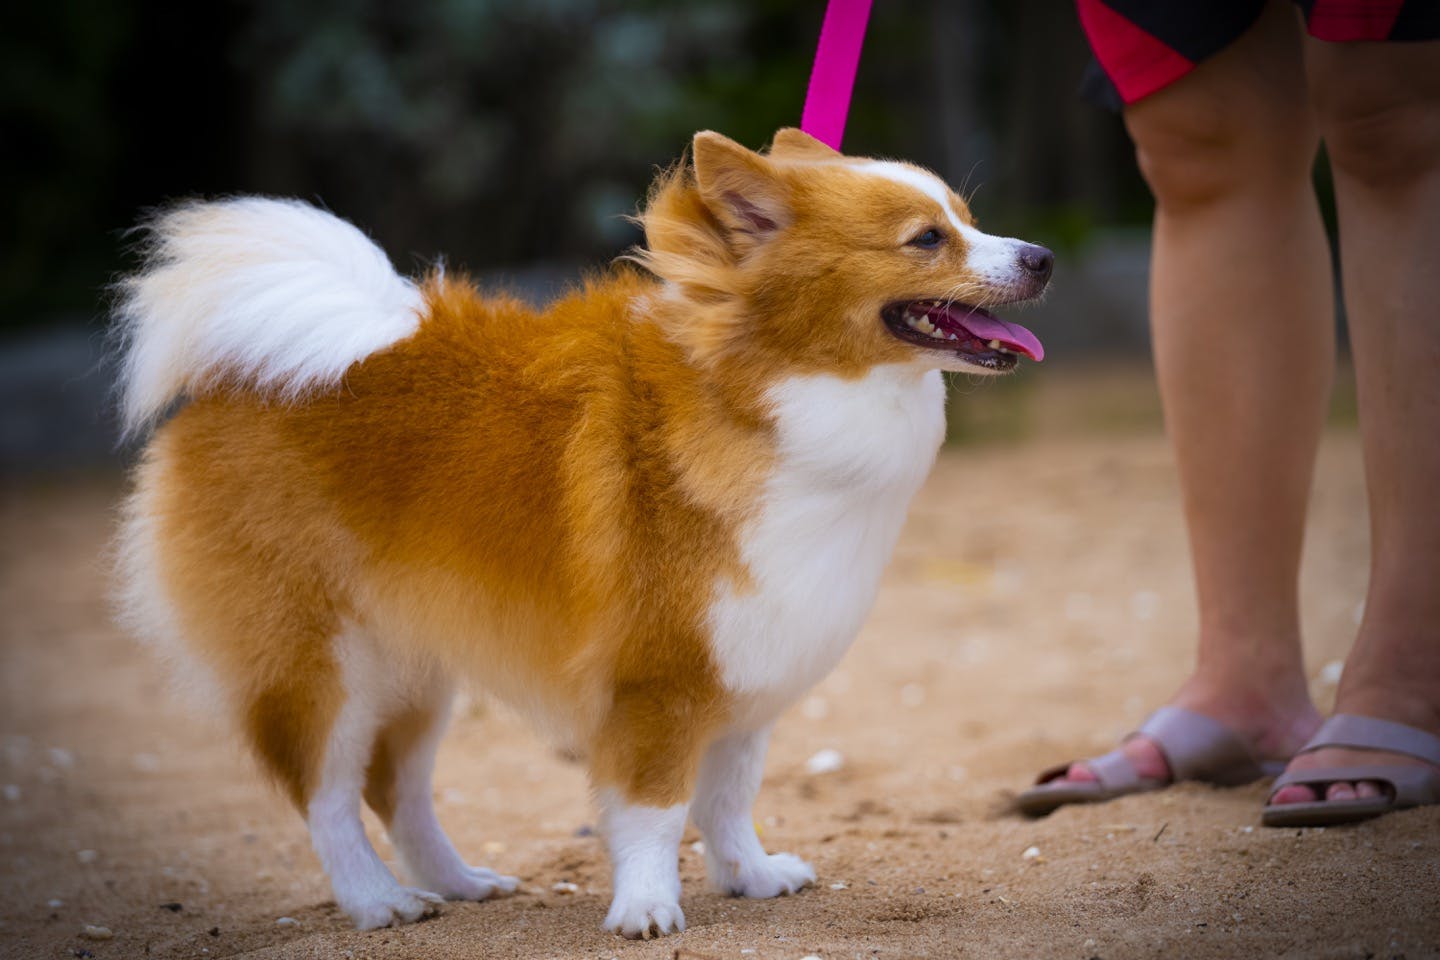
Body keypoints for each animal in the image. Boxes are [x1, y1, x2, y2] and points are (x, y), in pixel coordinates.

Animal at [112, 127, 1054, 938]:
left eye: (969, 219)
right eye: (927, 239)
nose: (1042, 258)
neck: (765, 397)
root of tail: (240, 369)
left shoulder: (747, 663)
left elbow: (728, 797)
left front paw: (748, 876)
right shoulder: (656, 682)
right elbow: (656, 809)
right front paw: (646, 908)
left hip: (416, 663)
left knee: (395, 789)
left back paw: (458, 883)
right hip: (323, 664)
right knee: (328, 795)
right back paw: (378, 900)